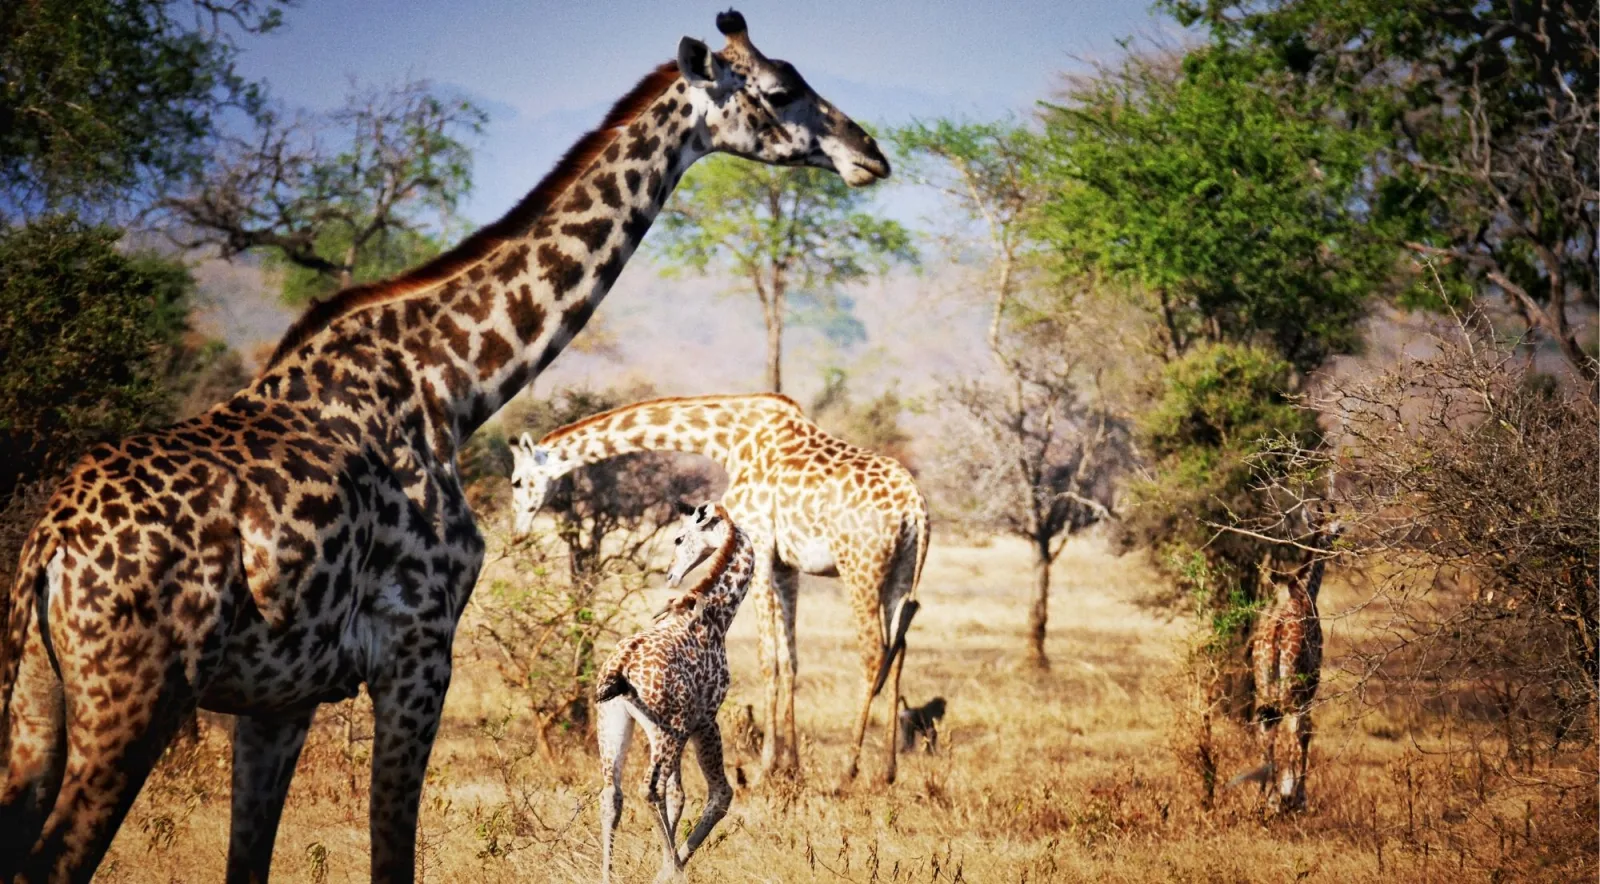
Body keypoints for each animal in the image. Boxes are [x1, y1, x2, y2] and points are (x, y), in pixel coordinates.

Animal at [510, 392, 930, 786]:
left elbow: (768, 659)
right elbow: (790, 659)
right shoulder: (786, 565)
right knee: (900, 649)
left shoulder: (760, 545)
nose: (516, 532)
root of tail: (916, 510)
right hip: (899, 572)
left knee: (875, 652)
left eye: (516, 480)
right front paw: (792, 766)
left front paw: (765, 768)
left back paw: (849, 770)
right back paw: (887, 770)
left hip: (860, 566)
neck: (727, 438)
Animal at [596, 502, 755, 884]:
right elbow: (720, 793)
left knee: (612, 794)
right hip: (669, 730)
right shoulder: (705, 719)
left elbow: (677, 795)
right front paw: (671, 869)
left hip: (614, 722)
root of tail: (621, 666)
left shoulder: (679, 727)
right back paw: (673, 867)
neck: (719, 615)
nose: (671, 575)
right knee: (649, 788)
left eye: (679, 537)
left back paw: (607, 875)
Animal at [1229, 526, 1334, 813]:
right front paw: (1298, 795)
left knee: (1266, 727)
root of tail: (1276, 632)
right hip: (1293, 686)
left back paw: (1266, 798)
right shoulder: (1311, 684)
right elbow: (1304, 732)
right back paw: (1284, 797)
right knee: (1292, 728)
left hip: (1266, 683)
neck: (1305, 590)